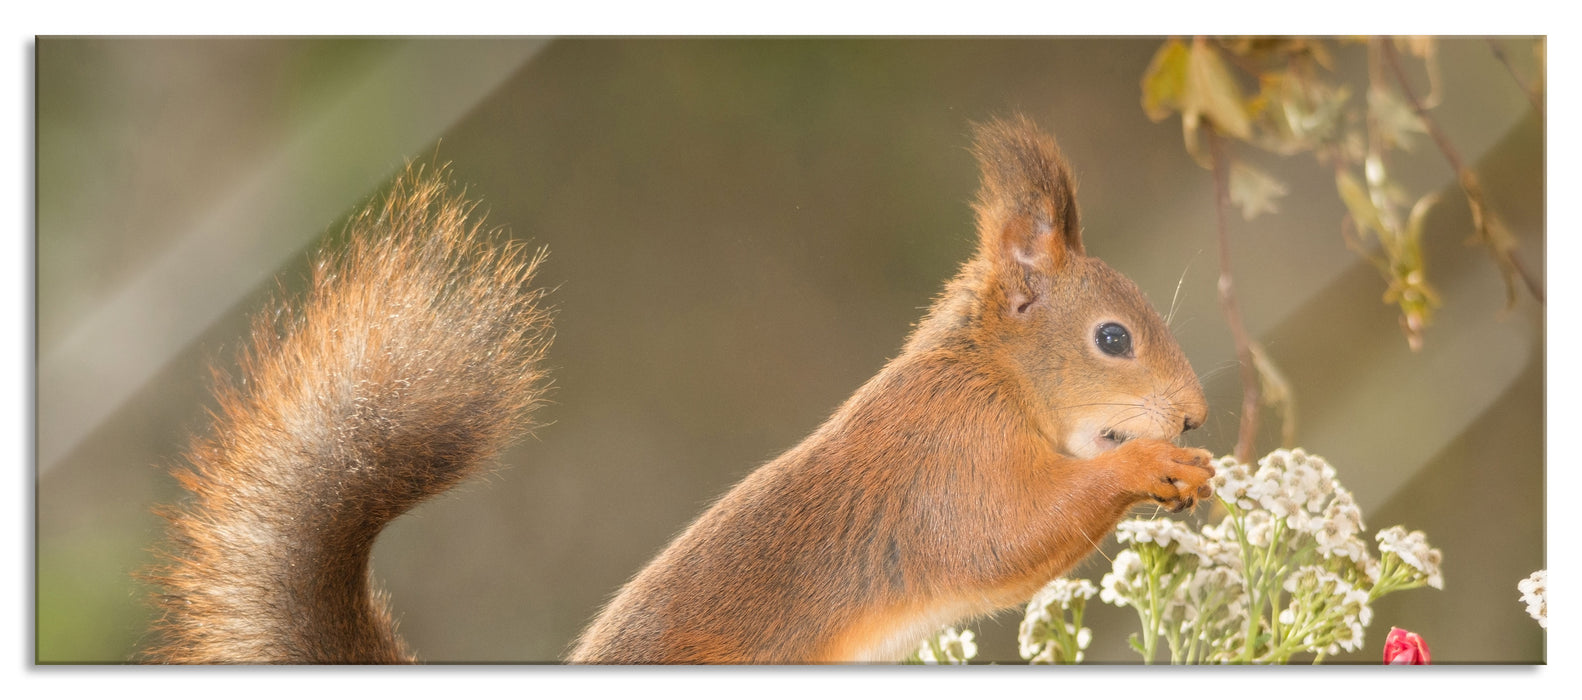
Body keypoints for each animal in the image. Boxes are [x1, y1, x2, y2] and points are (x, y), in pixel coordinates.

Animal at [144, 114, 1213, 664]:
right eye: (1113, 339)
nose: (1196, 415)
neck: (991, 375)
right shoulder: (951, 460)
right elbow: (1008, 537)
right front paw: (1153, 465)